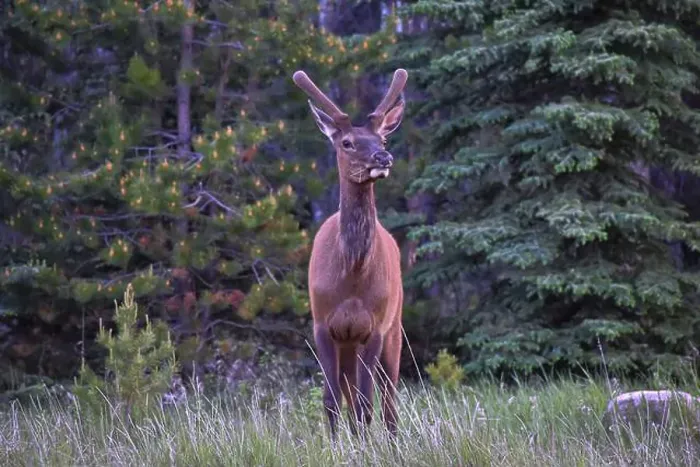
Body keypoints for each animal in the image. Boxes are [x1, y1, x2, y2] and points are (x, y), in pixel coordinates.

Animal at [292, 68, 408, 439]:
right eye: (347, 143)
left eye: (382, 140)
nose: (383, 158)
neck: (351, 277)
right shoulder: (322, 325)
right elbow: (330, 401)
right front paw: (333, 443)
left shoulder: (374, 327)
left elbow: (365, 404)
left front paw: (361, 443)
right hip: (348, 344)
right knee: (349, 391)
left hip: (395, 327)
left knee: (388, 399)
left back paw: (391, 440)